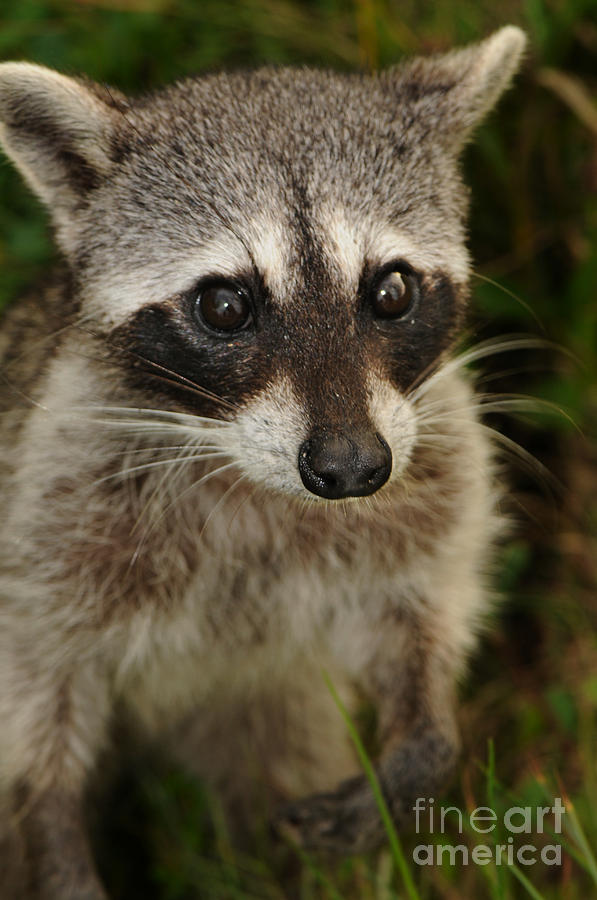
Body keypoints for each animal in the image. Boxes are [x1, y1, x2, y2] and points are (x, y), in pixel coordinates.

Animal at [0, 28, 520, 900]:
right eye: (224, 305)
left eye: (390, 291)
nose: (351, 469)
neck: (249, 477)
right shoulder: (49, 496)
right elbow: (39, 695)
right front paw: (53, 830)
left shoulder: (432, 453)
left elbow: (419, 610)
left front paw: (423, 740)